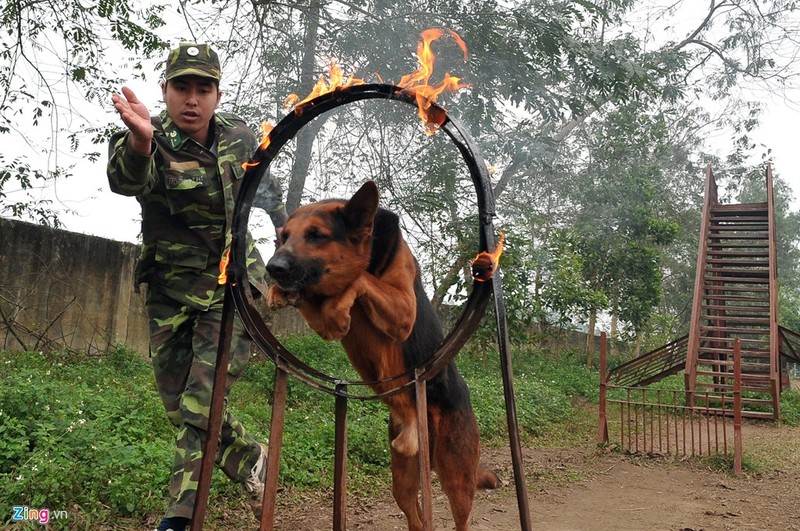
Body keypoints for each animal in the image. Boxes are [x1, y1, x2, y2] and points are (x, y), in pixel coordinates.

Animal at [268, 181, 500, 528]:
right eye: (283, 237)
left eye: (317, 235)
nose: (273, 267)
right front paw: (279, 293)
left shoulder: (403, 311)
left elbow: (358, 279)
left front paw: (339, 310)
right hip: (403, 479)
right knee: (417, 518)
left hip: (457, 479)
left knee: (461, 518)